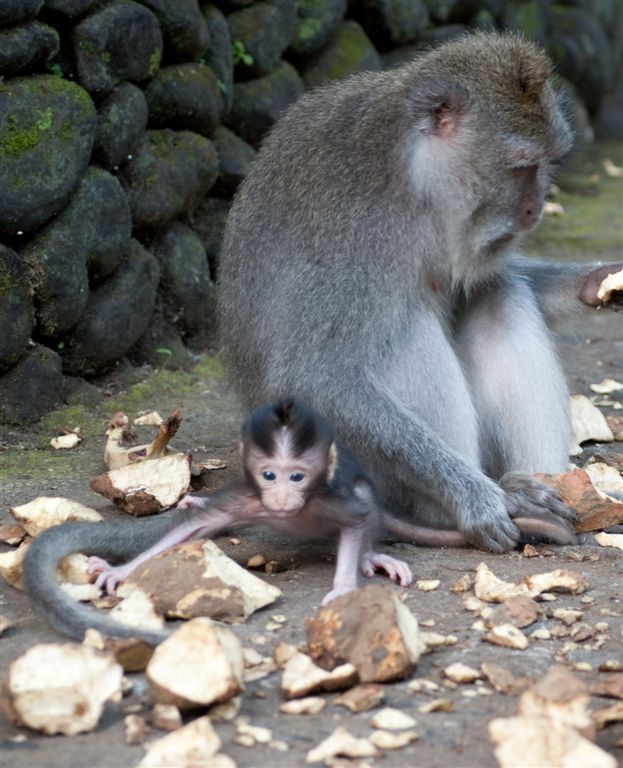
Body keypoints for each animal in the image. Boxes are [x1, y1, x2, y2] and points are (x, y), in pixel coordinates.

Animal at [216, 32, 622, 554]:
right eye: (520, 166)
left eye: (543, 165)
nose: (534, 210)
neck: (411, 172)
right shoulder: (358, 231)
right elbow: (314, 375)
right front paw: (475, 498)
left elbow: (491, 277)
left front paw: (599, 282)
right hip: (363, 480)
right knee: (404, 326)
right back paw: (474, 505)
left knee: (498, 290)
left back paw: (550, 490)